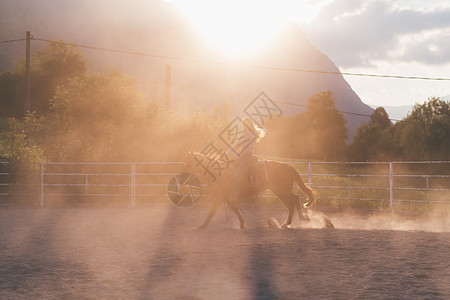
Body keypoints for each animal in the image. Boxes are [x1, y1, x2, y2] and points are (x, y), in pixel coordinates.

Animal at [180, 150, 316, 227]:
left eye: (188, 164)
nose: (181, 179)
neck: (219, 173)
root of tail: (288, 167)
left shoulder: (221, 197)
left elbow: (212, 212)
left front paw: (202, 225)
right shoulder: (227, 198)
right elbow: (234, 210)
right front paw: (242, 224)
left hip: (281, 192)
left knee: (291, 204)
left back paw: (286, 223)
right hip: (283, 191)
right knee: (296, 199)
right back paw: (301, 219)